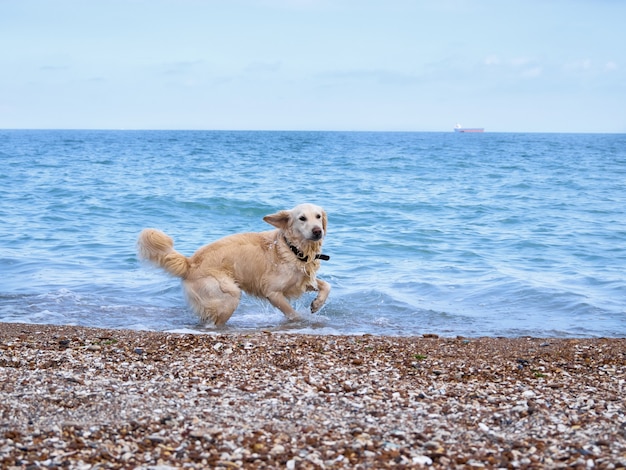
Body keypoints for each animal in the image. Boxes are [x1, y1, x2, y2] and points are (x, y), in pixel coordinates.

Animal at [137, 204, 330, 324]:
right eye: (302, 218)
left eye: (318, 216)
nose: (317, 231)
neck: (293, 249)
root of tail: (190, 263)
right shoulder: (272, 292)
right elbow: (292, 313)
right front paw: (302, 320)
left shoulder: (300, 281)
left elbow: (326, 285)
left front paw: (316, 304)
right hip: (229, 295)